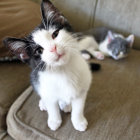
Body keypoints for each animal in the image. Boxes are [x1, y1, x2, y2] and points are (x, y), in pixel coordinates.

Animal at [3, 0, 94, 131]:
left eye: (55, 34)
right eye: (39, 50)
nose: (53, 48)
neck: (63, 71)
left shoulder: (82, 89)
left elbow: (79, 107)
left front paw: (79, 121)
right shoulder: (45, 85)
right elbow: (52, 107)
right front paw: (54, 121)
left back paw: (66, 105)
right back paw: (45, 103)